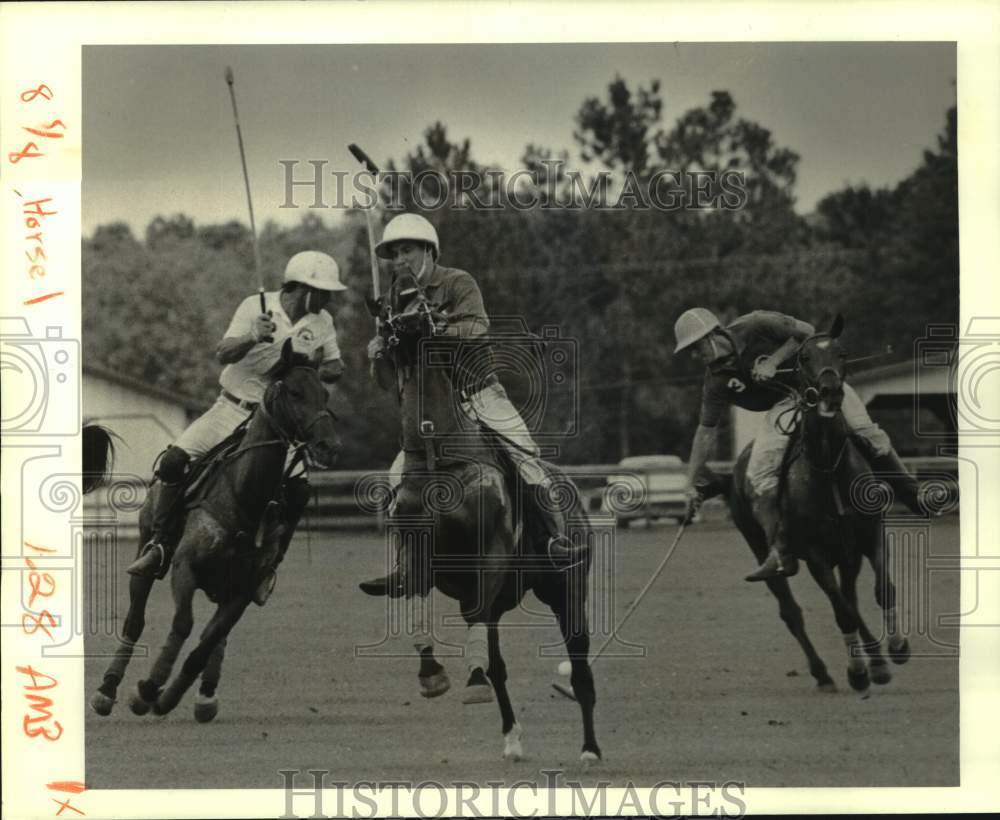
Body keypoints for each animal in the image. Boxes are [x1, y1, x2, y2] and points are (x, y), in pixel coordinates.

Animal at [91, 342, 340, 720]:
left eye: (324, 393)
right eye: (295, 392)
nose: (328, 446)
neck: (245, 496)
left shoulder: (243, 590)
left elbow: (204, 645)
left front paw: (166, 697)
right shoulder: (185, 568)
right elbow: (183, 624)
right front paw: (148, 689)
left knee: (216, 639)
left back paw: (205, 697)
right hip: (147, 547)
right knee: (135, 618)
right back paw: (107, 690)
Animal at [374, 318, 596, 760]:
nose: (395, 327)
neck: (438, 457)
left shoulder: (492, 550)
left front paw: (469, 682)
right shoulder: (417, 550)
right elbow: (416, 600)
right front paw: (431, 674)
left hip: (567, 587)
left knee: (579, 664)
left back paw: (590, 750)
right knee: (498, 663)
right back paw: (511, 737)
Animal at [700, 318, 912, 696]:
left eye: (842, 353)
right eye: (804, 358)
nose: (829, 393)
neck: (829, 471)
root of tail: (731, 477)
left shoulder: (869, 535)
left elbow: (881, 590)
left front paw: (897, 648)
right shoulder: (815, 554)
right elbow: (840, 611)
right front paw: (856, 672)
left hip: (846, 554)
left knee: (849, 598)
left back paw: (876, 661)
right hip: (762, 547)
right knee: (793, 611)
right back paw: (825, 674)